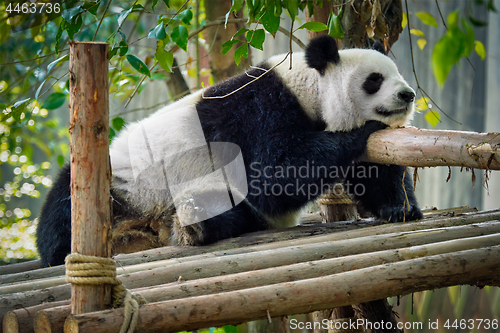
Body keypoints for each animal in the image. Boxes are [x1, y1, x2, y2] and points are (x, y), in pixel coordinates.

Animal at [37, 35, 424, 266]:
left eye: (399, 74)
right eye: (374, 80)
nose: (407, 95)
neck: (308, 86)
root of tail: (137, 229)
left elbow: (372, 172)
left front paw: (399, 207)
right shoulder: (259, 110)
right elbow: (271, 179)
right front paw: (363, 131)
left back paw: (193, 223)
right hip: (119, 183)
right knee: (61, 214)